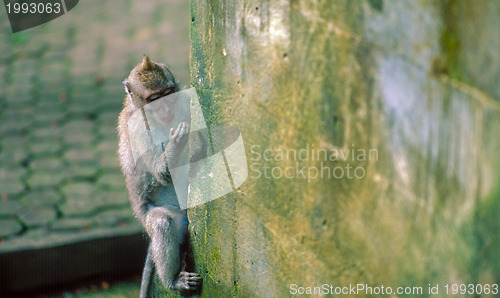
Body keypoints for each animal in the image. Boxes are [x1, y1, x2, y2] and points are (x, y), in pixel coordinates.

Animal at [117, 56, 201, 296]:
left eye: (168, 93)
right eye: (154, 99)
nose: (166, 107)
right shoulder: (138, 127)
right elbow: (160, 172)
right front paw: (177, 143)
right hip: (152, 216)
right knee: (162, 223)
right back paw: (172, 280)